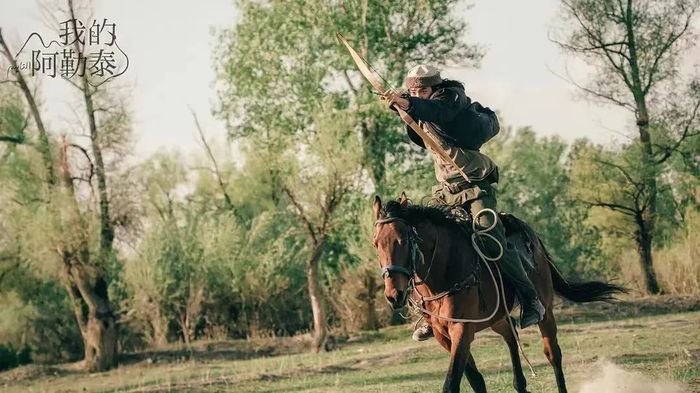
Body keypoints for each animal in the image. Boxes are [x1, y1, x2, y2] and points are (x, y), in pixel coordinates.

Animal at [372, 194, 624, 392]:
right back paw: (520, 384)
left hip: (546, 311)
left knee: (553, 354)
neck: (443, 276)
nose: (394, 295)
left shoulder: (461, 330)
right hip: (497, 318)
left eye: (403, 241)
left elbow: (452, 383)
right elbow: (475, 380)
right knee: (511, 336)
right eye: (376, 244)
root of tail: (531, 236)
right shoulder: (443, 334)